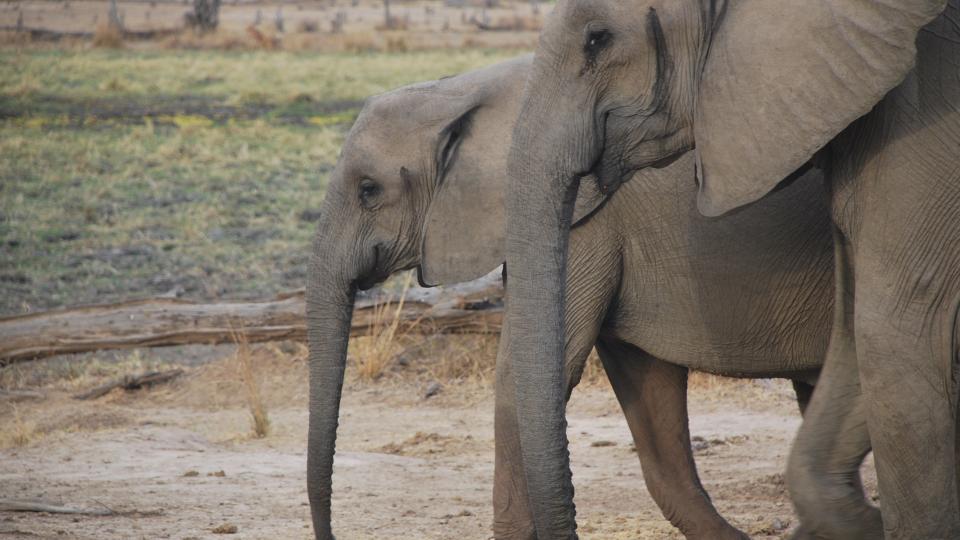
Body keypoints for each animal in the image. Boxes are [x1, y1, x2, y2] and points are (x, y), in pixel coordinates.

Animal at [305, 54, 847, 539]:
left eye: (369, 190)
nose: (330, 535)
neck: (473, 90)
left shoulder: (584, 220)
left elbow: (523, 372)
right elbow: (645, 380)